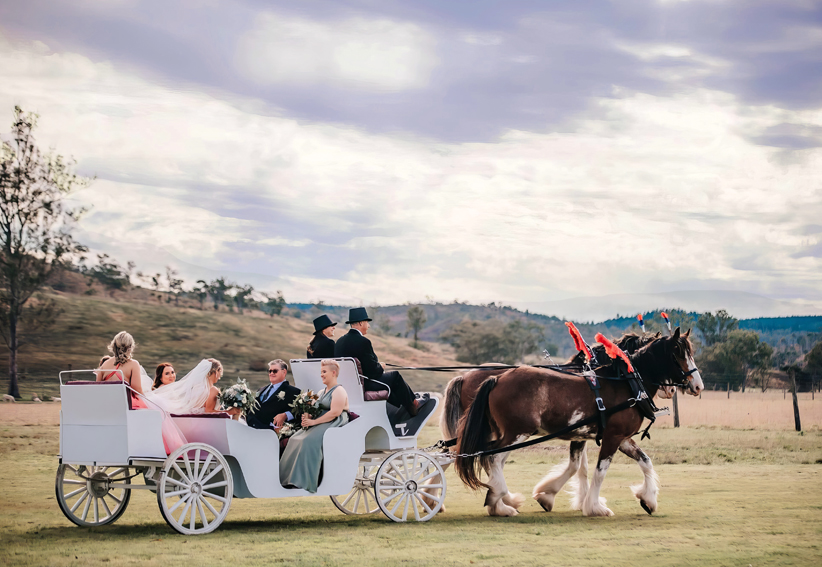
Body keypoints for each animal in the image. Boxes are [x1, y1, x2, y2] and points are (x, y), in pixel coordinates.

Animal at [454, 328, 704, 520]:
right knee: (493, 458)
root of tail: (497, 378)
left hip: (507, 433)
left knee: (490, 458)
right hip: (517, 433)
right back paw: (501, 502)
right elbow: (599, 471)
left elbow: (645, 461)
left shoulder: (619, 437)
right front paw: (594, 506)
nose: (698, 386)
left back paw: (499, 501)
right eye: (678, 354)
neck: (626, 383)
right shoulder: (612, 437)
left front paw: (648, 499)